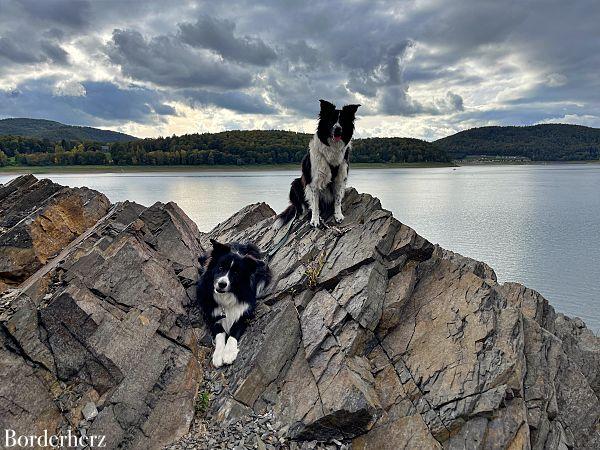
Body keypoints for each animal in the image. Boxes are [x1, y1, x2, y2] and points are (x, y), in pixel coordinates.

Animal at [276, 101, 358, 229]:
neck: (332, 149)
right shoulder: (313, 182)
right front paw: (315, 220)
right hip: (296, 184)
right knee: (300, 207)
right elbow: (315, 204)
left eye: (343, 121)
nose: (338, 129)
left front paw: (338, 215)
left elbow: (337, 199)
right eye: (331, 120)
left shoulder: (340, 179)